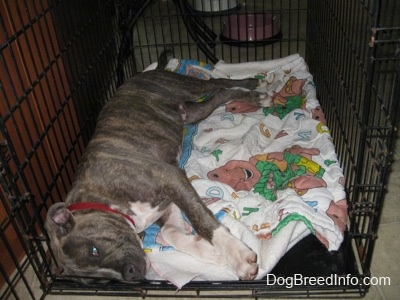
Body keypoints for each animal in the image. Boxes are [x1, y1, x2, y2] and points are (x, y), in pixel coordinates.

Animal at [45, 68, 264, 284]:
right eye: (101, 282)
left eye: (94, 250)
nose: (130, 274)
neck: (103, 200)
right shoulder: (166, 203)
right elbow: (170, 233)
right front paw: (210, 251)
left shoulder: (170, 178)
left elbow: (200, 220)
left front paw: (235, 254)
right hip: (195, 113)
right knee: (218, 94)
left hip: (184, 86)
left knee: (217, 82)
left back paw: (252, 88)